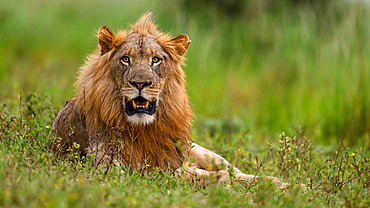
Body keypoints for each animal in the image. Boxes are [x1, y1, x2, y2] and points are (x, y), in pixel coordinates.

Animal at [51, 13, 286, 187]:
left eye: (155, 60)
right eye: (125, 59)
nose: (140, 83)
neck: (143, 129)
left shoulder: (174, 159)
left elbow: (198, 173)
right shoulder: (103, 163)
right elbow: (178, 175)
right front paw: (218, 181)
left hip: (201, 151)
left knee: (235, 170)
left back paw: (281, 183)